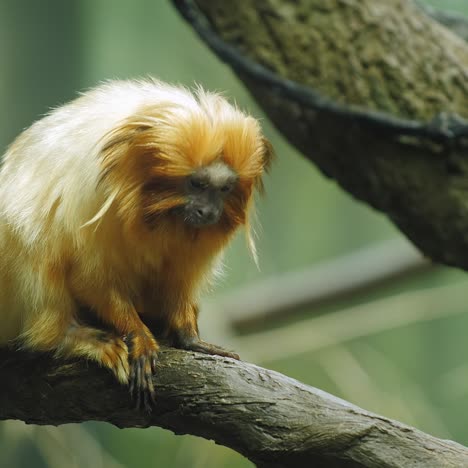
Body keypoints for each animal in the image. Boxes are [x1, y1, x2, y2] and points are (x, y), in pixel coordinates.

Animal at [0, 78, 274, 408]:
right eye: (197, 184)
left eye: (223, 189)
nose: (208, 212)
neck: (156, 209)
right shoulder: (96, 204)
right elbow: (90, 277)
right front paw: (138, 335)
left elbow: (179, 280)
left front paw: (188, 336)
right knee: (34, 244)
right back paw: (71, 336)